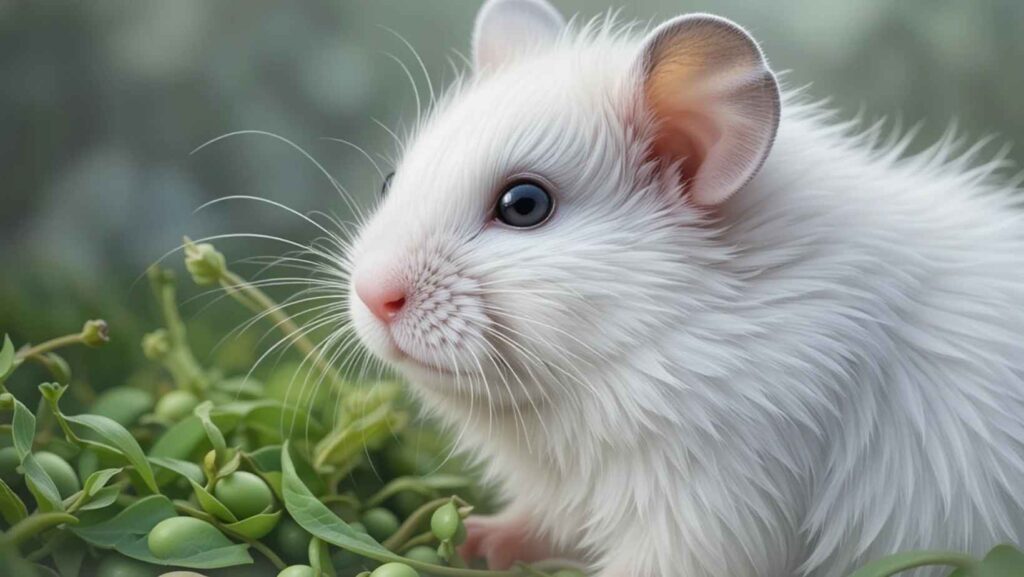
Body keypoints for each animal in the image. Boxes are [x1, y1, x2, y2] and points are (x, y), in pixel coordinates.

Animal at [347, 1, 1024, 576]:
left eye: (525, 205)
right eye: (389, 181)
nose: (374, 297)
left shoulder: (712, 509)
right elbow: (535, 524)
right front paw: (476, 541)